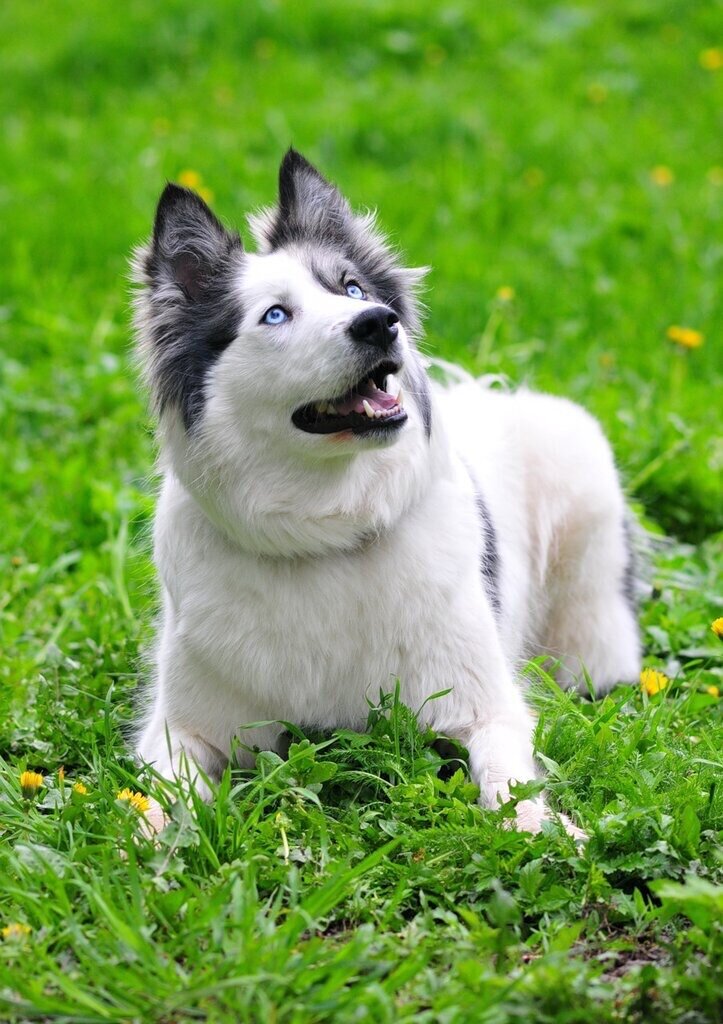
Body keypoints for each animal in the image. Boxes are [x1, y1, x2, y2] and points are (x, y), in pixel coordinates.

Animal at [129, 153, 634, 839]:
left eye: (351, 289)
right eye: (275, 315)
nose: (378, 322)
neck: (325, 528)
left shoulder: (485, 705)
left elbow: (508, 779)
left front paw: (543, 828)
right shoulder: (180, 726)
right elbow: (162, 789)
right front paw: (144, 840)